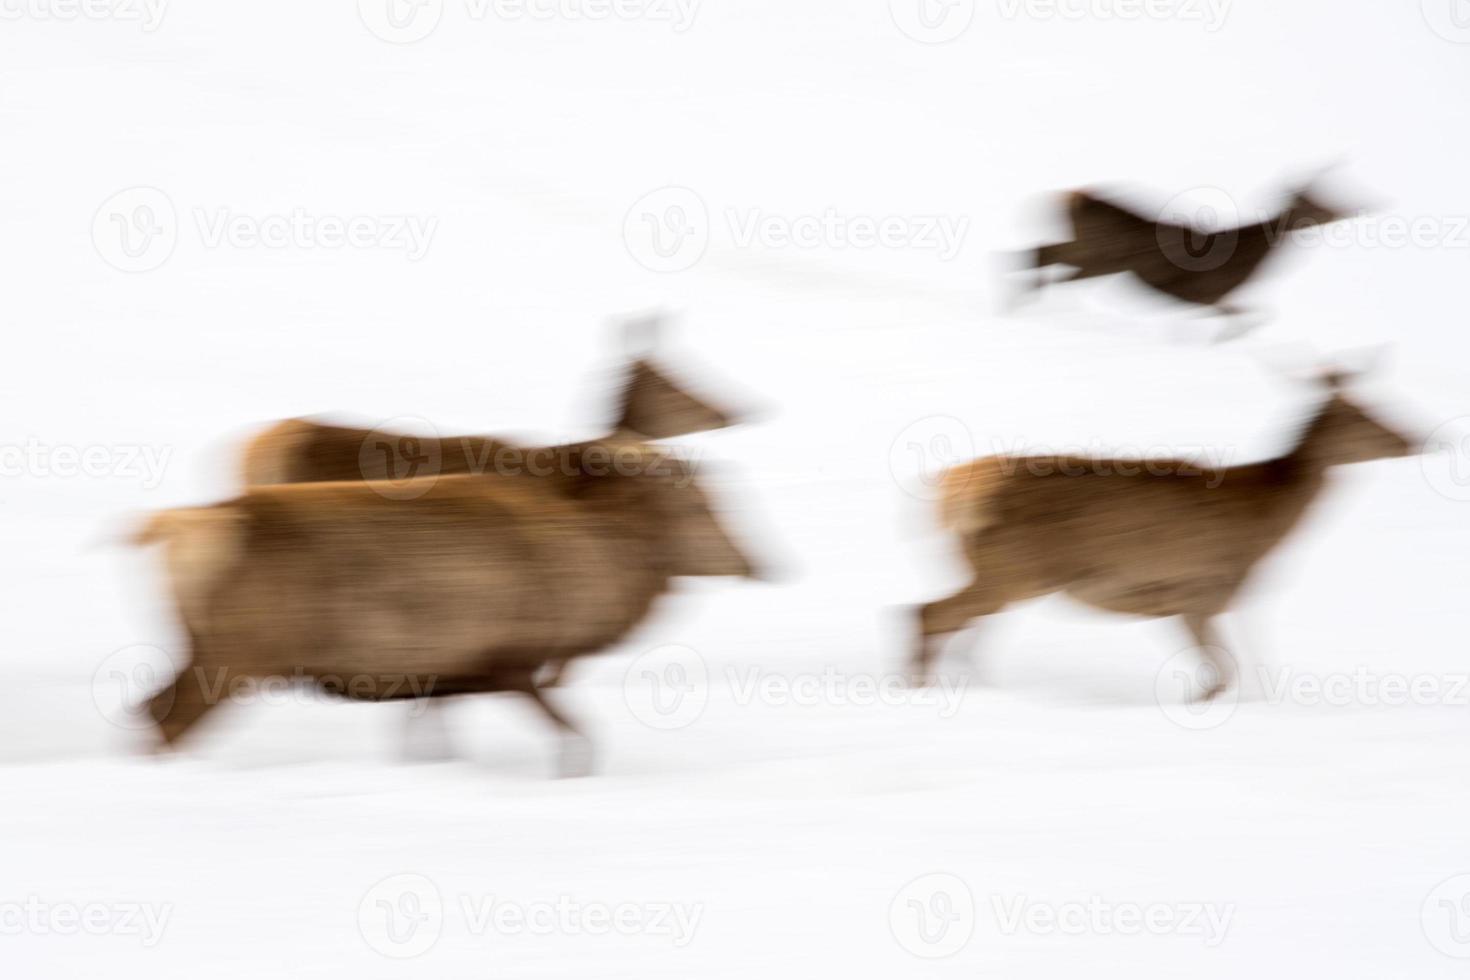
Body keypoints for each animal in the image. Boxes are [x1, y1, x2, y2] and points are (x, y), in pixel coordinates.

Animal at [911, 371, 1417, 702]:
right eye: (1362, 414)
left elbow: (1222, 673)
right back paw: (922, 687)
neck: (1265, 520)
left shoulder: (1186, 600)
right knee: (930, 613)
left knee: (954, 623)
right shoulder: (1202, 588)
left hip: (995, 569)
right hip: (1015, 569)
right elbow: (1223, 676)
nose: (1414, 438)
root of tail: (953, 491)